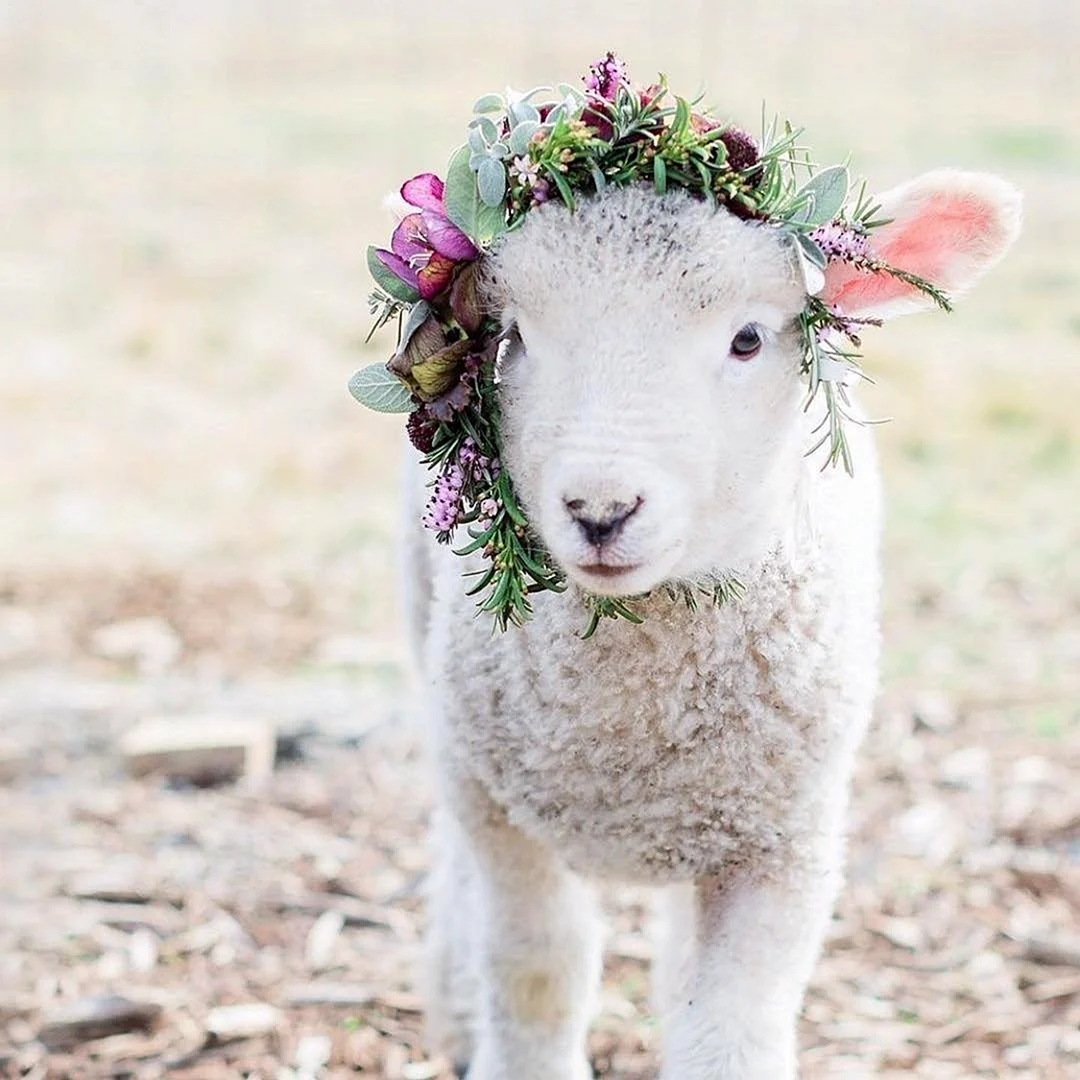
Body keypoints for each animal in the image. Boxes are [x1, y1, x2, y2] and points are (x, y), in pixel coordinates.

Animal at [405, 171, 1021, 1080]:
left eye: (748, 339)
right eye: (513, 337)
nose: (600, 510)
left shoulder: (785, 845)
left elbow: (730, 1027)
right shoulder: (500, 814)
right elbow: (537, 970)